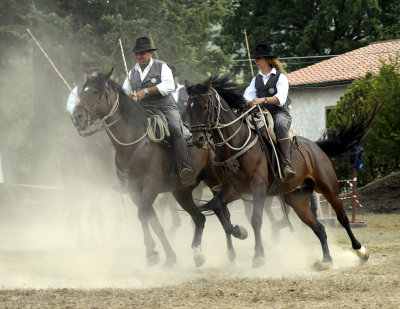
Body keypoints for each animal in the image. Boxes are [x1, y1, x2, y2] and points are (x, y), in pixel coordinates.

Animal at [70, 69, 250, 264]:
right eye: (82, 92)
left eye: (96, 92)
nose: (77, 117)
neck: (133, 143)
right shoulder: (134, 191)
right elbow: (153, 221)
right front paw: (169, 256)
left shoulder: (151, 186)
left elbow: (143, 214)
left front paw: (152, 253)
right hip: (181, 191)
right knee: (200, 218)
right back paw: (198, 253)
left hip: (214, 181)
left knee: (222, 211)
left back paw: (234, 245)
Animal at [188, 76, 372, 266]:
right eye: (188, 108)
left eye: (204, 106)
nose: (197, 140)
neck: (237, 145)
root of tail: (315, 147)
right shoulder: (233, 189)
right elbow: (217, 206)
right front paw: (239, 232)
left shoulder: (258, 187)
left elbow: (256, 220)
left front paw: (259, 255)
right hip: (297, 200)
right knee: (319, 228)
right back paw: (327, 259)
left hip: (329, 188)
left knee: (342, 218)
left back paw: (361, 251)